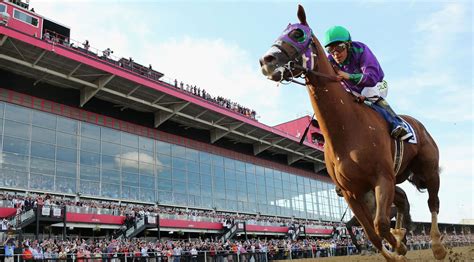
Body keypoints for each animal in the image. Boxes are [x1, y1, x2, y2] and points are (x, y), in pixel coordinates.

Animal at [260, 5, 448, 260]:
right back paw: (402, 233)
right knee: (403, 202)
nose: (266, 60)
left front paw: (399, 246)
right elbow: (372, 234)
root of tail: (419, 125)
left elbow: (380, 225)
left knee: (433, 202)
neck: (347, 131)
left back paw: (437, 246)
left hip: (428, 170)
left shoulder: (382, 178)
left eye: (298, 34)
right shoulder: (352, 192)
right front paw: (396, 247)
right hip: (398, 178)